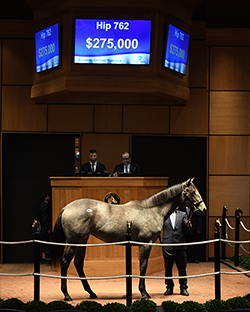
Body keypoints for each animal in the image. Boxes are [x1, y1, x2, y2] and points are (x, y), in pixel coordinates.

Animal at [51, 177, 206, 302]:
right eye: (193, 192)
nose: (203, 209)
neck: (151, 210)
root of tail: (66, 207)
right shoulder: (145, 244)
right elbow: (143, 266)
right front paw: (144, 293)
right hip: (74, 242)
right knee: (65, 262)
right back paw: (67, 295)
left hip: (82, 241)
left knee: (78, 263)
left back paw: (91, 293)